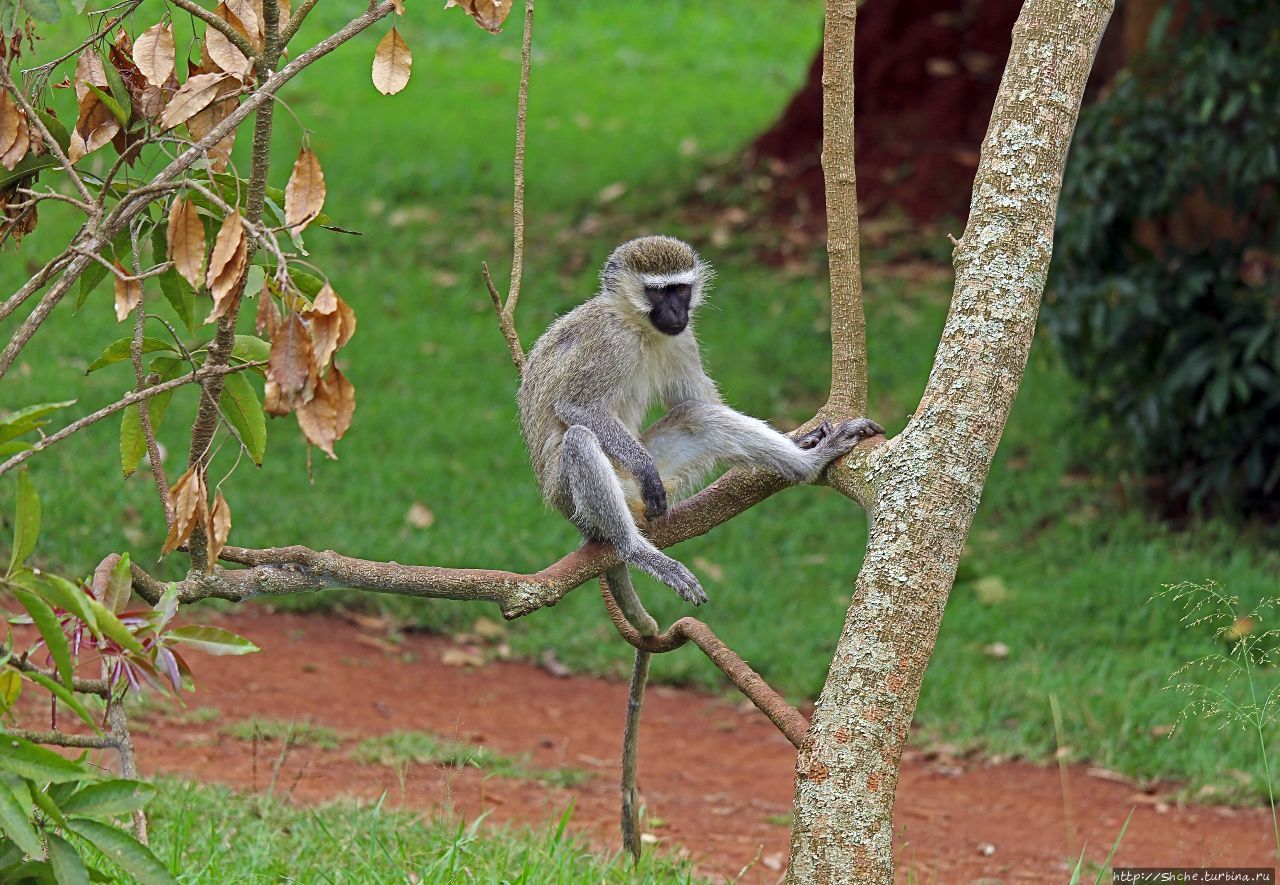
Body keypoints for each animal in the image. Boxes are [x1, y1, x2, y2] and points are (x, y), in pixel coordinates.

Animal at [514, 235, 885, 607]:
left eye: (681, 290)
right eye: (658, 292)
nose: (678, 312)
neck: (636, 326)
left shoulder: (682, 338)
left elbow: (697, 401)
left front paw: (800, 439)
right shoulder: (608, 342)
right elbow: (576, 407)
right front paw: (643, 466)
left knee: (698, 415)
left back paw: (808, 462)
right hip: (572, 497)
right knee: (580, 439)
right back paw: (636, 549)